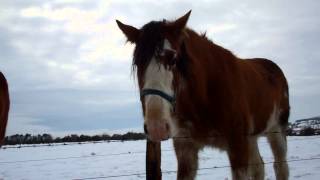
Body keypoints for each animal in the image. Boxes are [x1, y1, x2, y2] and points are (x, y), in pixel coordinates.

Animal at [117, 11, 290, 180]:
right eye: (138, 64)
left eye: (173, 59)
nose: (156, 127)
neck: (205, 96)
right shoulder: (185, 150)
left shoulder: (238, 147)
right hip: (252, 139)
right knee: (259, 168)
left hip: (277, 131)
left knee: (280, 167)